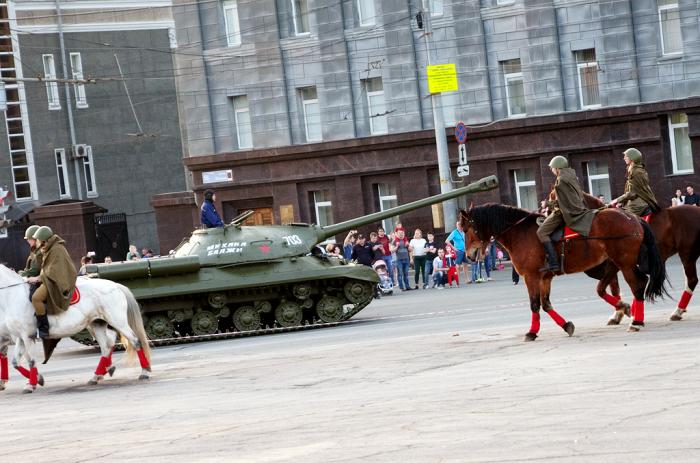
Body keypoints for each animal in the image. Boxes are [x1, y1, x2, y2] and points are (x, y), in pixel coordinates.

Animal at [0, 264, 152, 396]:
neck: (13, 296)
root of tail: (115, 285)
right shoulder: (19, 337)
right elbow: (15, 362)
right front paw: (37, 379)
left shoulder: (27, 336)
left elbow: (30, 360)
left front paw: (31, 384)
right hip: (97, 324)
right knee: (106, 346)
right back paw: (97, 375)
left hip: (118, 321)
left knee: (135, 341)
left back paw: (144, 371)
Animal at [460, 205, 668, 342]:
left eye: (467, 229)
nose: (469, 255)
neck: (519, 232)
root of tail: (633, 217)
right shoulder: (545, 278)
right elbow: (546, 304)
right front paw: (566, 325)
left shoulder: (531, 277)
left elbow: (535, 304)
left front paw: (532, 332)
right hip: (616, 262)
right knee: (619, 286)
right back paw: (628, 311)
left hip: (624, 262)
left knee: (638, 285)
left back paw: (636, 321)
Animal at [580, 194, 700, 324]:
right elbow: (614, 287)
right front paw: (623, 311)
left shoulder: (614, 264)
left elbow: (614, 286)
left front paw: (621, 312)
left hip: (687, 254)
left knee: (691, 280)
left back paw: (677, 311)